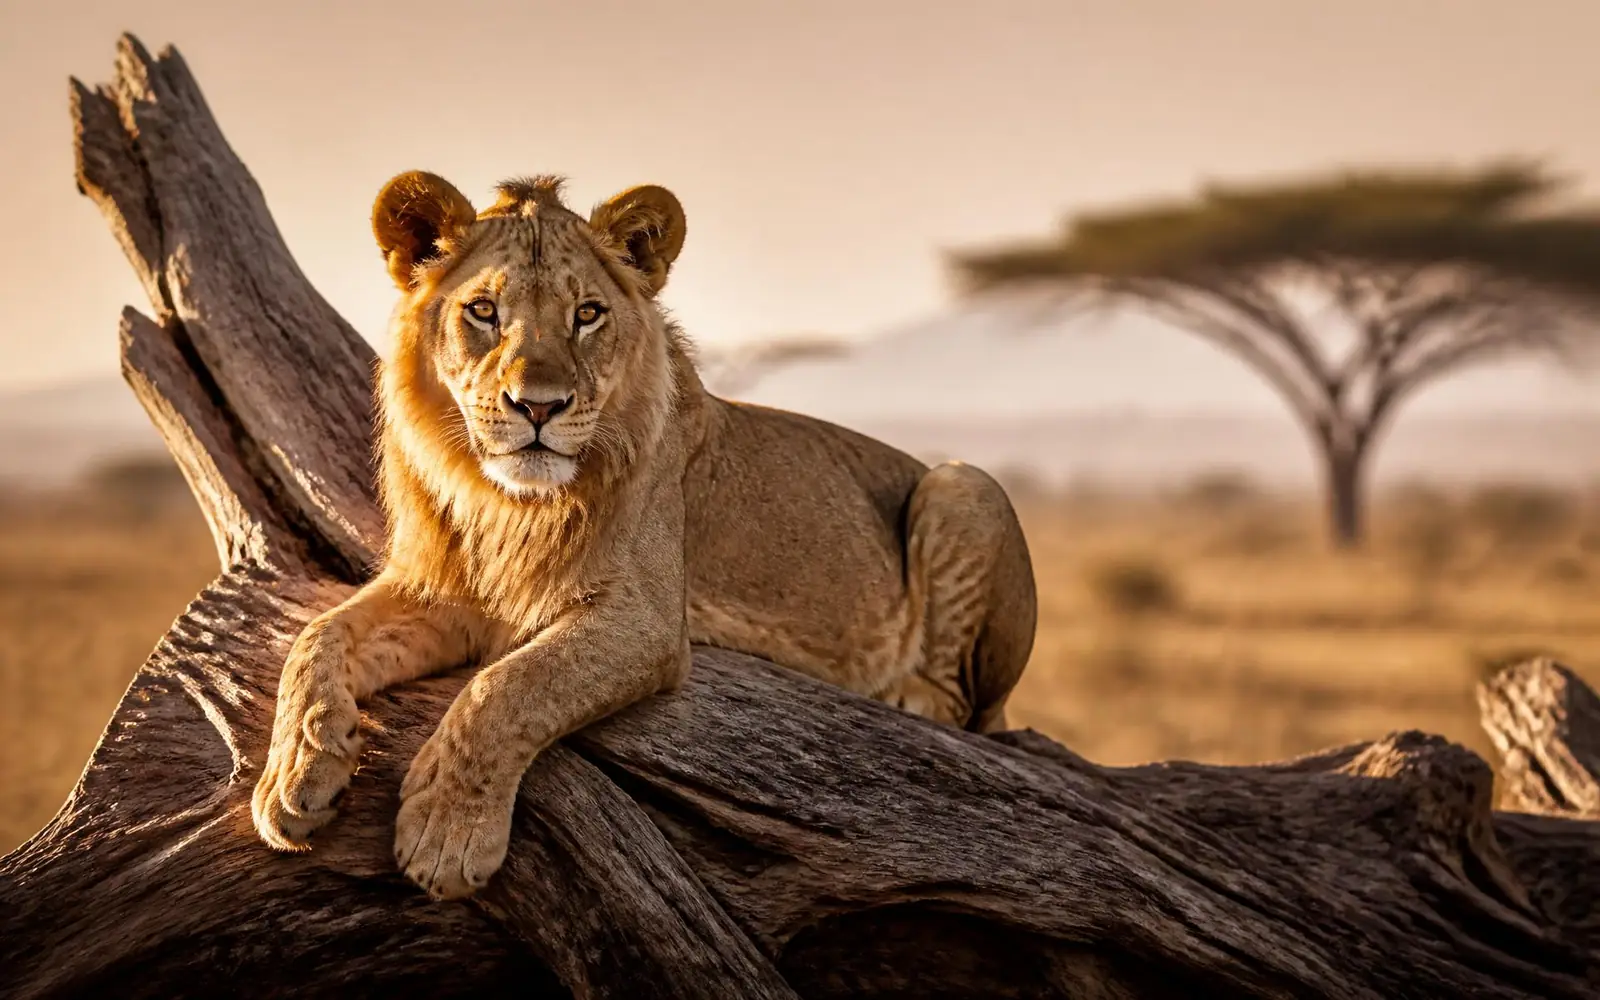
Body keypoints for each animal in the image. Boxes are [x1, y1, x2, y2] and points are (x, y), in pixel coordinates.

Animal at [250, 171, 1038, 899]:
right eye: (483, 311)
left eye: (587, 315)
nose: (538, 407)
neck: (503, 503)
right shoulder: (440, 594)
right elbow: (315, 638)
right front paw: (294, 775)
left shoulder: (648, 620)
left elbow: (509, 687)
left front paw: (447, 835)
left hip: (962, 486)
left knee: (961, 705)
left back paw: (902, 696)